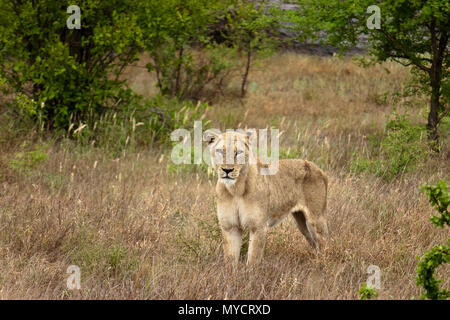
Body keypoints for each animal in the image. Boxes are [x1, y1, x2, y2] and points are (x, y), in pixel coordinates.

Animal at [206, 129, 328, 266]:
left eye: (238, 152)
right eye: (220, 151)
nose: (227, 170)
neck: (236, 189)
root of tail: (318, 168)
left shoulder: (258, 227)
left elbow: (253, 259)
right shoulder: (230, 227)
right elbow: (231, 260)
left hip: (316, 218)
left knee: (324, 242)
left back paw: (324, 263)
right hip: (302, 223)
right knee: (314, 243)